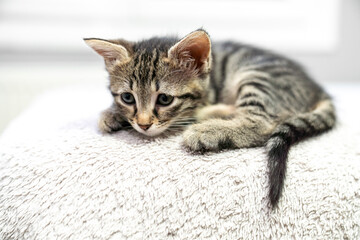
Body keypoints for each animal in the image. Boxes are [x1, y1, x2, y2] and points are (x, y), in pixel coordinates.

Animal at [84, 29, 334, 206]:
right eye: (127, 97)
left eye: (164, 99)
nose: (144, 125)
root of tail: (317, 89)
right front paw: (112, 114)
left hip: (258, 76)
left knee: (262, 122)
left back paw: (206, 125)